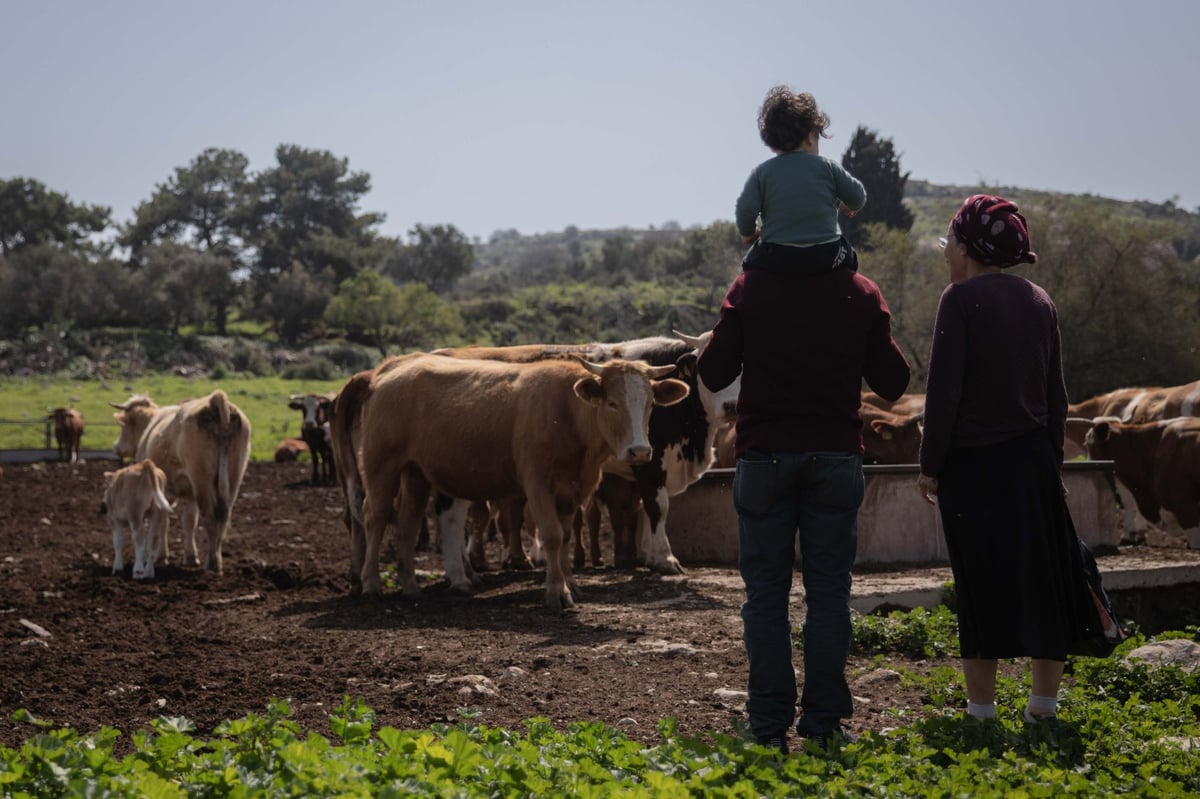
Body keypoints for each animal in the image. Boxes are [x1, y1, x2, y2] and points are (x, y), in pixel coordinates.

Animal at [110, 386, 250, 568]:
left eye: (123, 427)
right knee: (223, 516)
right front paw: (190, 556)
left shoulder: (163, 491)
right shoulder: (190, 494)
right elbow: (189, 522)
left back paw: (212, 562)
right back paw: (217, 559)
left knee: (210, 516)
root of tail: (215, 399)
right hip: (232, 480)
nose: (116, 447)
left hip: (202, 481)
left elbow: (163, 522)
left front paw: (161, 555)